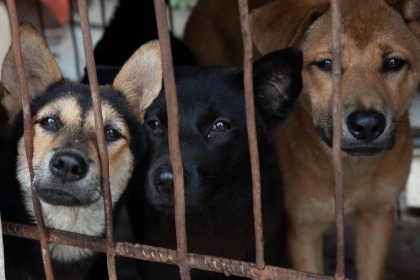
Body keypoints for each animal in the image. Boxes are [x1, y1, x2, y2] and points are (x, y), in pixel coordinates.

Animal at [185, 0, 420, 280]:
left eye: (394, 62)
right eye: (326, 64)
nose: (366, 125)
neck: (351, 170)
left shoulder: (377, 216)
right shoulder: (303, 230)